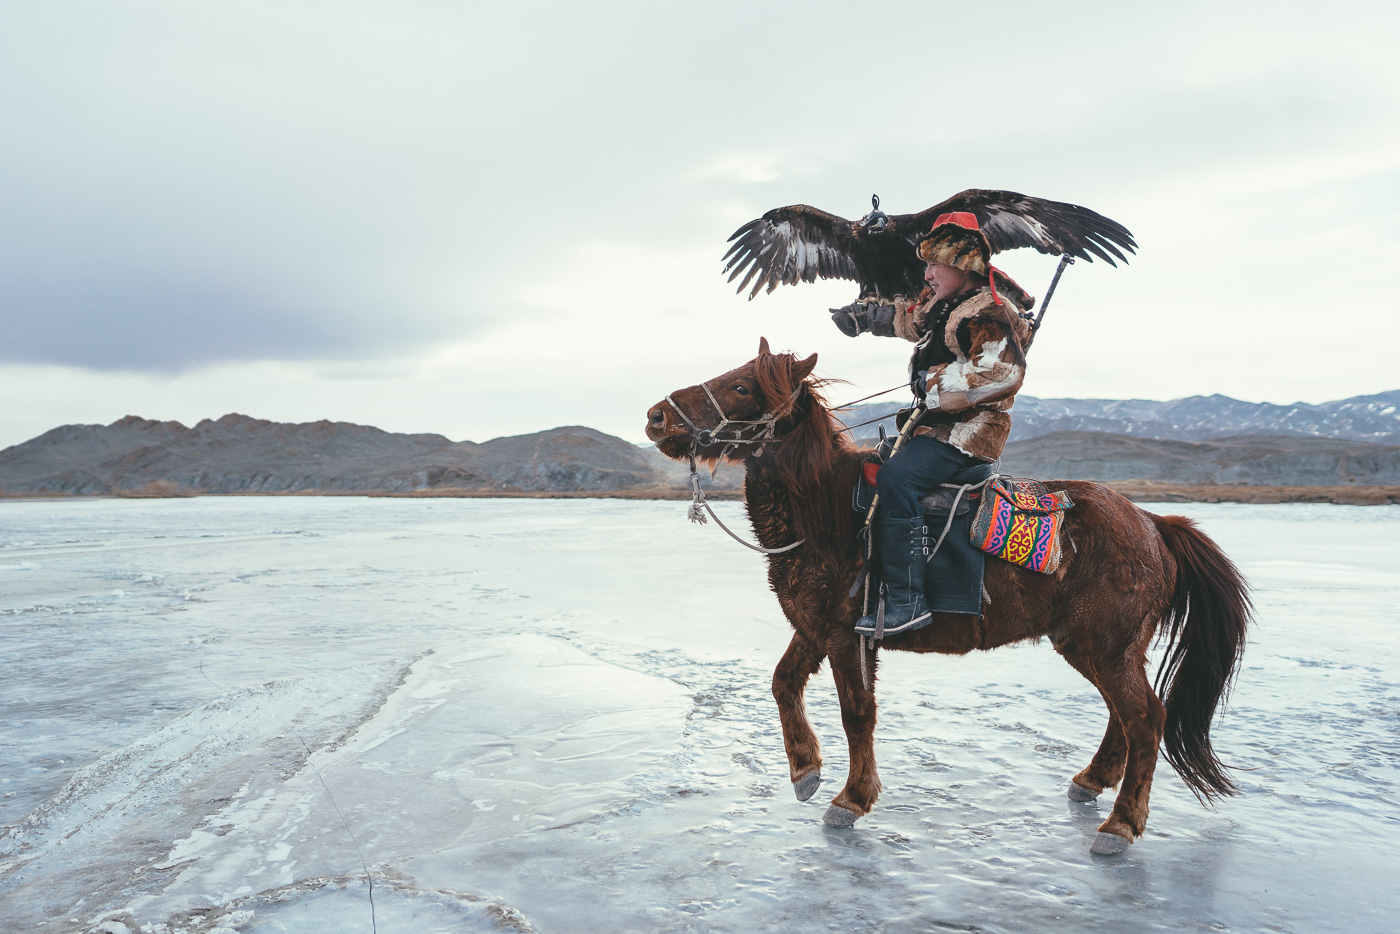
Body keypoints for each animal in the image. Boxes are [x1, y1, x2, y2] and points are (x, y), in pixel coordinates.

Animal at [641, 336, 1248, 856]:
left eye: (744, 387)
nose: (656, 416)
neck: (830, 514)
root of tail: (1153, 522)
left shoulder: (846, 635)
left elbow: (856, 712)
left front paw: (850, 799)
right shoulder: (814, 626)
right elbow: (783, 683)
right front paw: (805, 771)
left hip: (1107, 644)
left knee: (1145, 718)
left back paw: (1120, 825)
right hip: (1092, 645)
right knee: (1124, 716)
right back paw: (1091, 782)